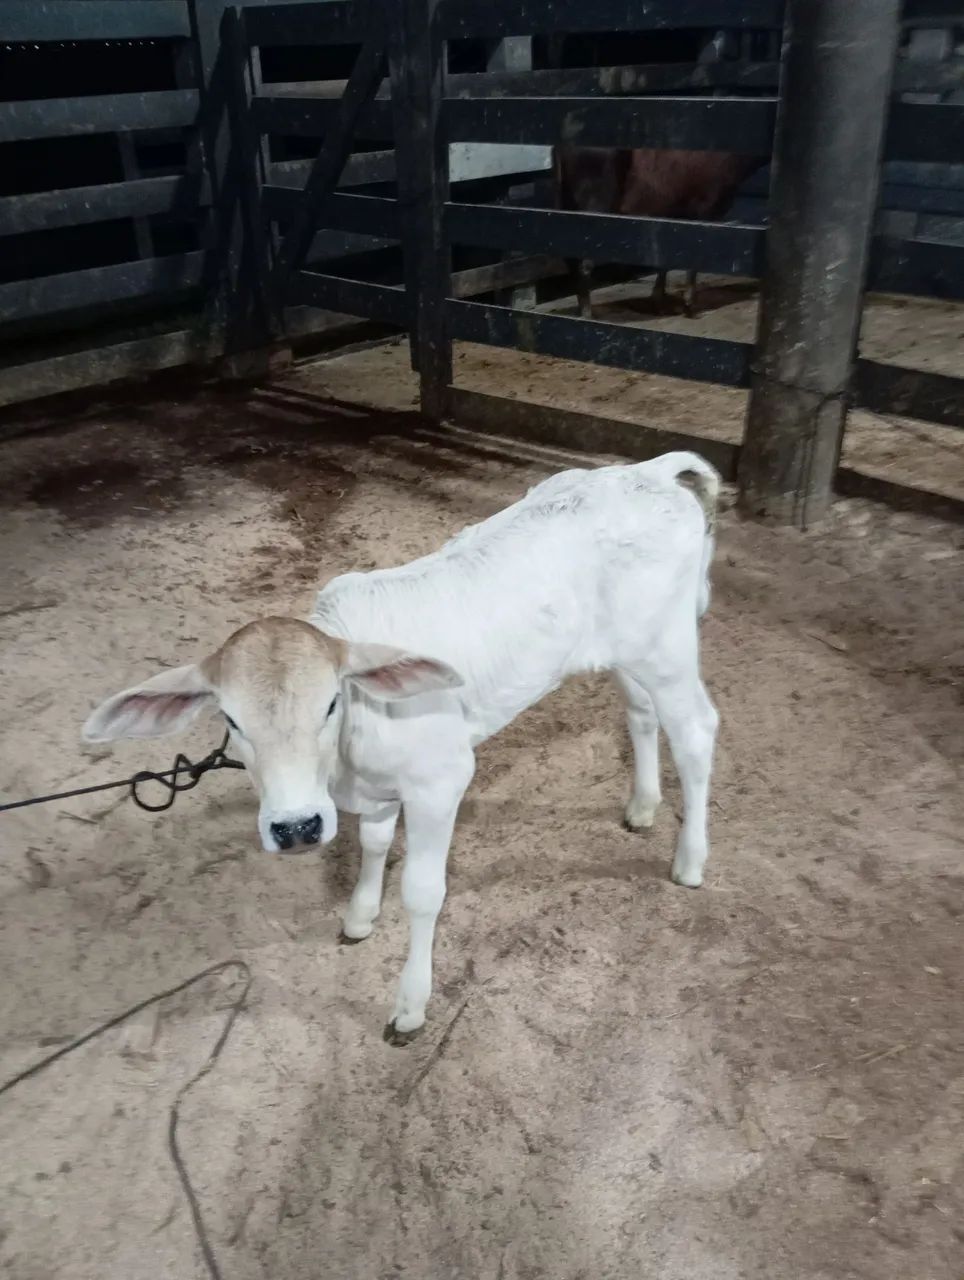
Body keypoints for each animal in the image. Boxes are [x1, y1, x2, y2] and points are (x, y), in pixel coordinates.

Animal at [83, 451, 721, 1043]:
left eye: (330, 704)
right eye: (232, 721)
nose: (296, 827)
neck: (348, 760)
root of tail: (649, 470)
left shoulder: (442, 779)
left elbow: (422, 891)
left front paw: (411, 1004)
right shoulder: (378, 790)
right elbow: (373, 843)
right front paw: (361, 913)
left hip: (668, 648)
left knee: (695, 731)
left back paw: (690, 859)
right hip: (625, 653)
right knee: (641, 713)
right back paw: (642, 806)